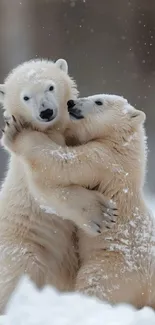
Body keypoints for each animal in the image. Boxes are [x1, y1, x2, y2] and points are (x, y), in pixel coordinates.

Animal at [0, 60, 115, 312]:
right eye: (26, 97)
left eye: (50, 87)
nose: (46, 112)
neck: (53, 130)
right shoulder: (24, 170)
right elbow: (46, 188)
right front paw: (101, 214)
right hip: (25, 243)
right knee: (20, 272)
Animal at [3, 92, 155, 308]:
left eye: (99, 101)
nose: (71, 103)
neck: (125, 145)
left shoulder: (105, 159)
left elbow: (64, 163)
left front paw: (16, 131)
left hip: (118, 266)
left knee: (96, 284)